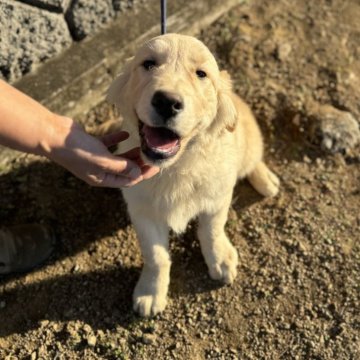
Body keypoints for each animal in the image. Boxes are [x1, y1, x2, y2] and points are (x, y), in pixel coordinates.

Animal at [105, 33, 280, 316]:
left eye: (201, 74)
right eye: (148, 64)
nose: (167, 102)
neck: (175, 167)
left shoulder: (218, 198)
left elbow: (212, 230)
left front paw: (220, 259)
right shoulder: (142, 210)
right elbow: (155, 255)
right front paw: (150, 291)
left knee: (253, 158)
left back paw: (267, 181)